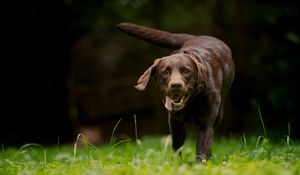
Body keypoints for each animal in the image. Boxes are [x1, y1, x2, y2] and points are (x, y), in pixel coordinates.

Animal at [116, 22, 234, 161]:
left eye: (186, 71)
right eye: (165, 72)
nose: (176, 85)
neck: (190, 103)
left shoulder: (206, 124)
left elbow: (202, 150)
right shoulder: (175, 122)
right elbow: (177, 147)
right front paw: (177, 163)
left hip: (219, 114)